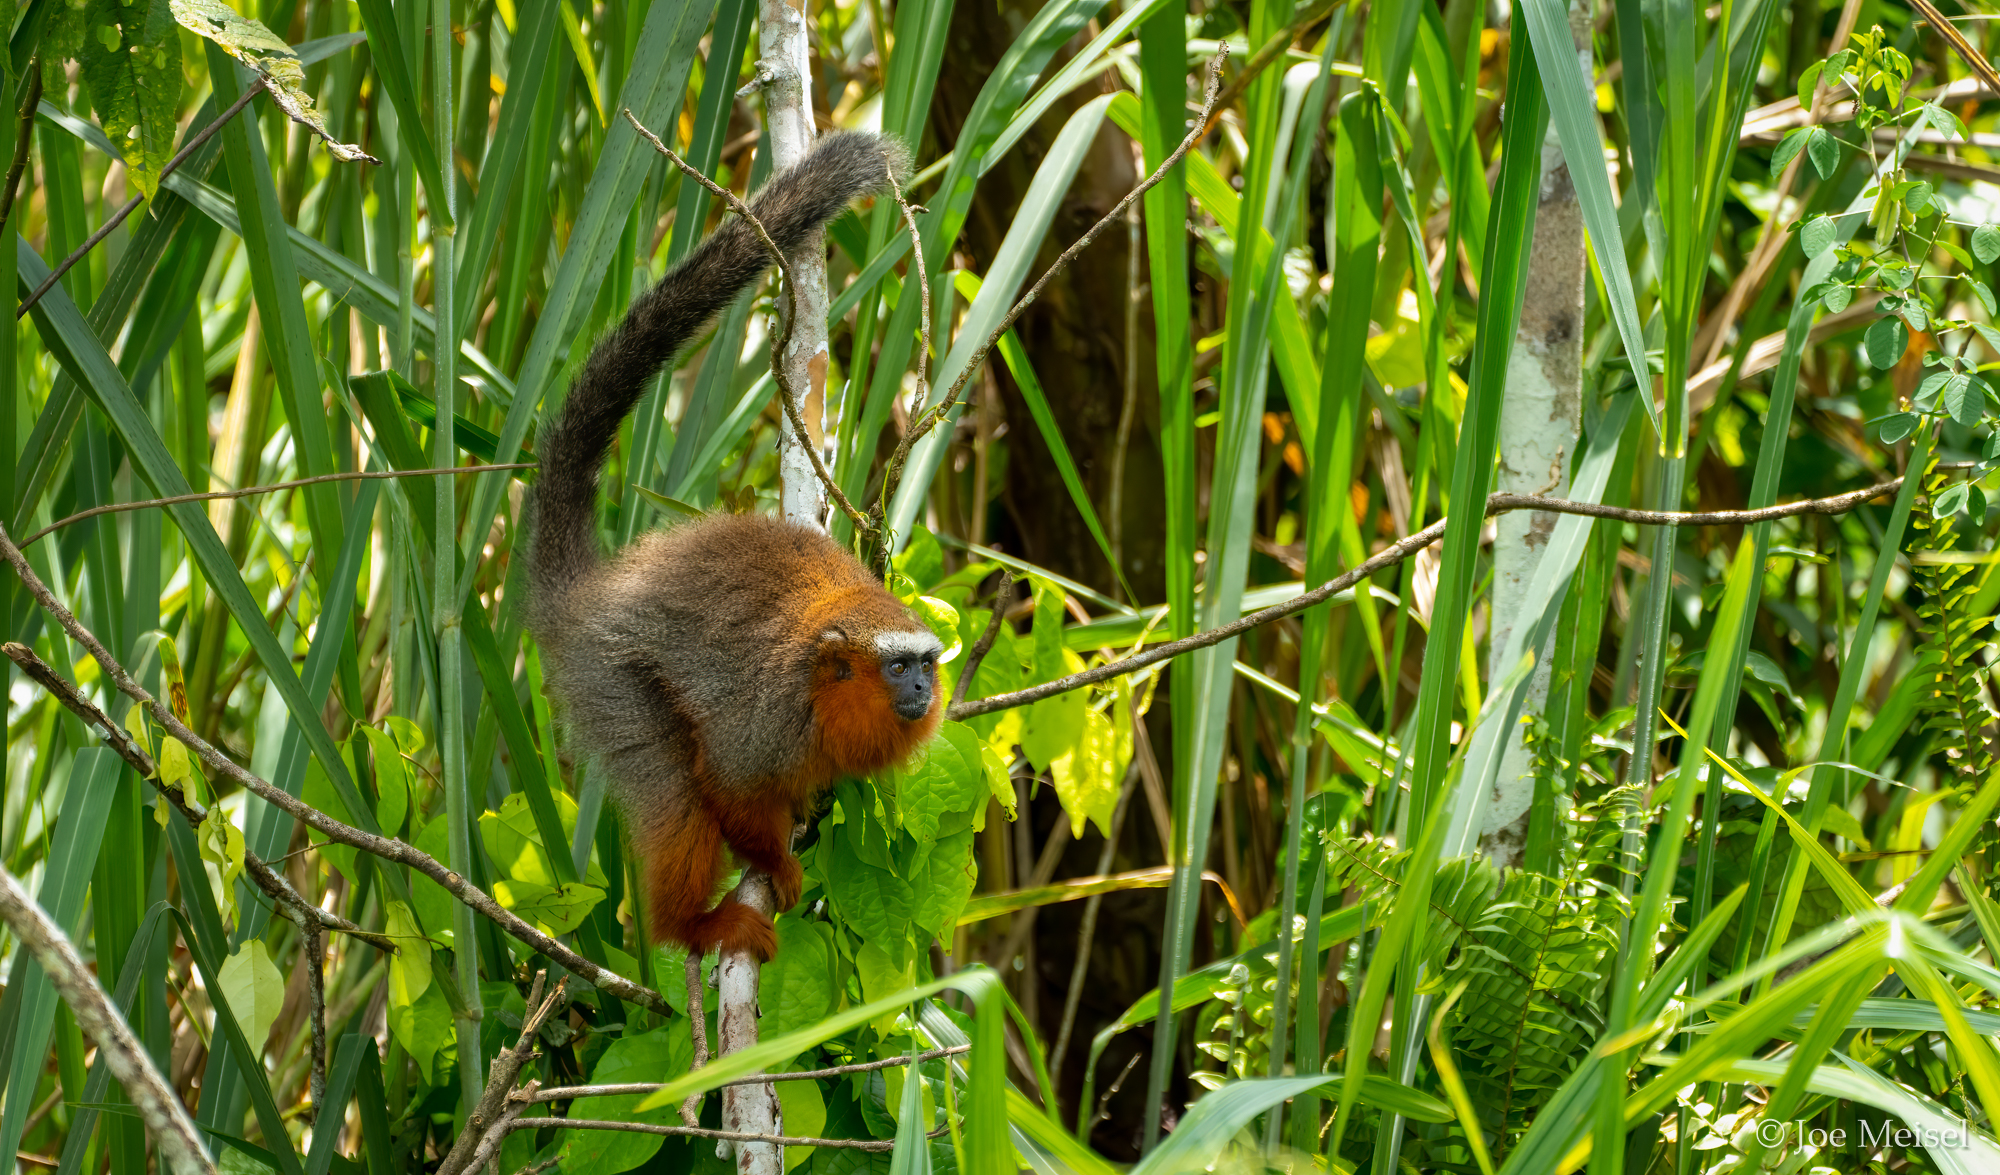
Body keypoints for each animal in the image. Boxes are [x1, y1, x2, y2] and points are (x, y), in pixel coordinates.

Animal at [526, 131, 943, 963]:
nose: (922, 688)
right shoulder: (769, 720)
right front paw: (773, 860)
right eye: (896, 668)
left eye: (924, 663)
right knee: (673, 788)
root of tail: (591, 591)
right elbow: (726, 785)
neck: (824, 695)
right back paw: (691, 922)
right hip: (606, 674)